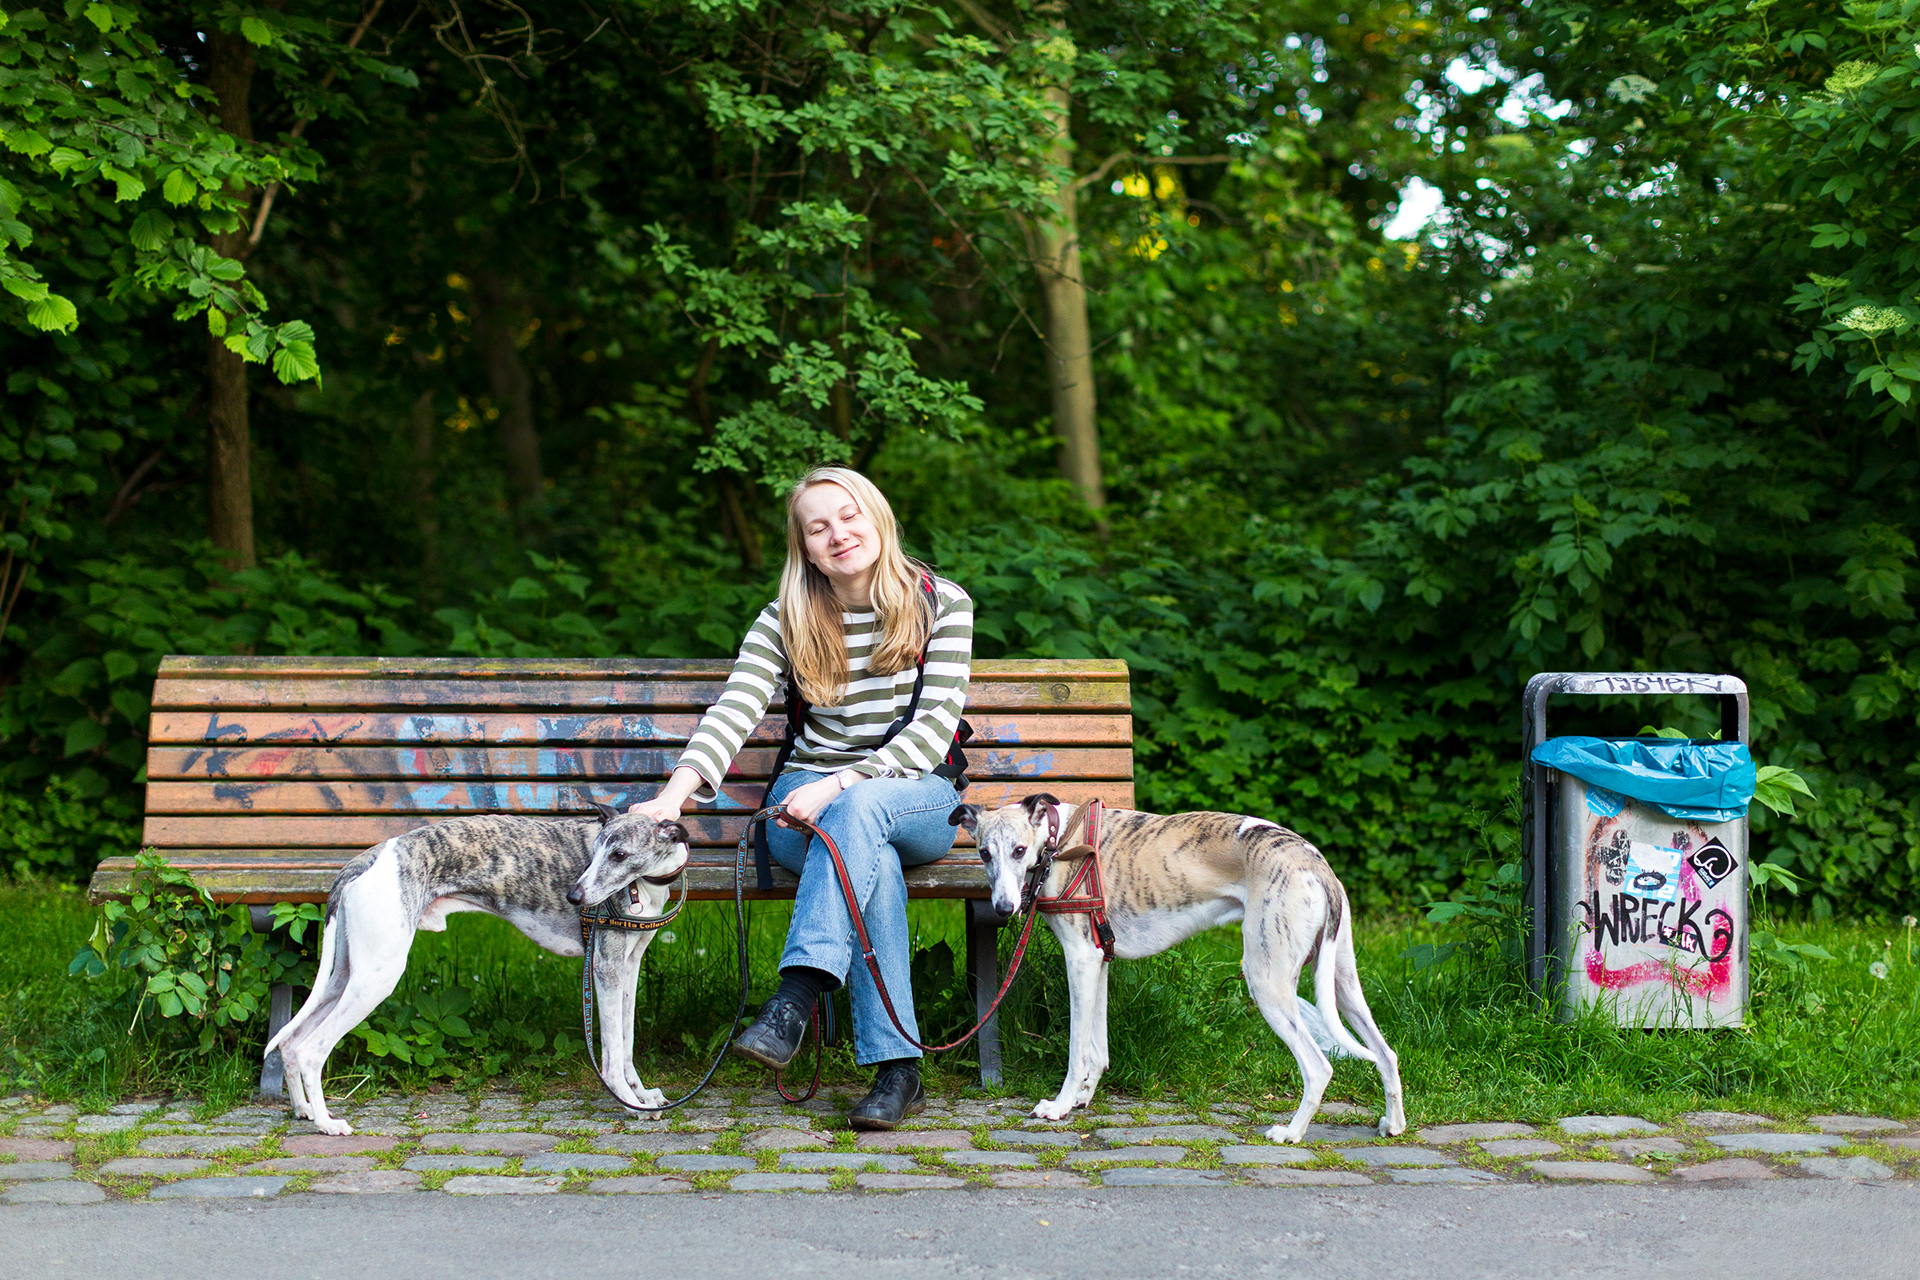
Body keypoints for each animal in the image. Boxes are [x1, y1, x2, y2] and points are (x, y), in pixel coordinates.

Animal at [265, 806, 690, 1135]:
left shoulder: (628, 966)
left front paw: (641, 1094)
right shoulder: (604, 966)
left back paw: (304, 1110)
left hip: (345, 976)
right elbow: (612, 1051)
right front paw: (629, 1102)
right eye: (598, 849)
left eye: (618, 854)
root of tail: (364, 859)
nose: (574, 897)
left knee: (290, 1042)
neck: (646, 883)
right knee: (311, 1048)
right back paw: (327, 1123)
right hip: (375, 978)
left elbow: (626, 1042)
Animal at [952, 795, 1407, 1143]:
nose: (1004, 908)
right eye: (984, 853)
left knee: (1318, 1066)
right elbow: (1097, 1049)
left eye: (1019, 850)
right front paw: (1083, 1098)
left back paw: (1291, 1133)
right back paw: (1393, 1124)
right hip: (1343, 982)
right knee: (1386, 1053)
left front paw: (1061, 1106)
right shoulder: (1098, 961)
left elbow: (1077, 1050)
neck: (1060, 841)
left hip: (1267, 979)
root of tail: (1314, 861)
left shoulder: (1080, 959)